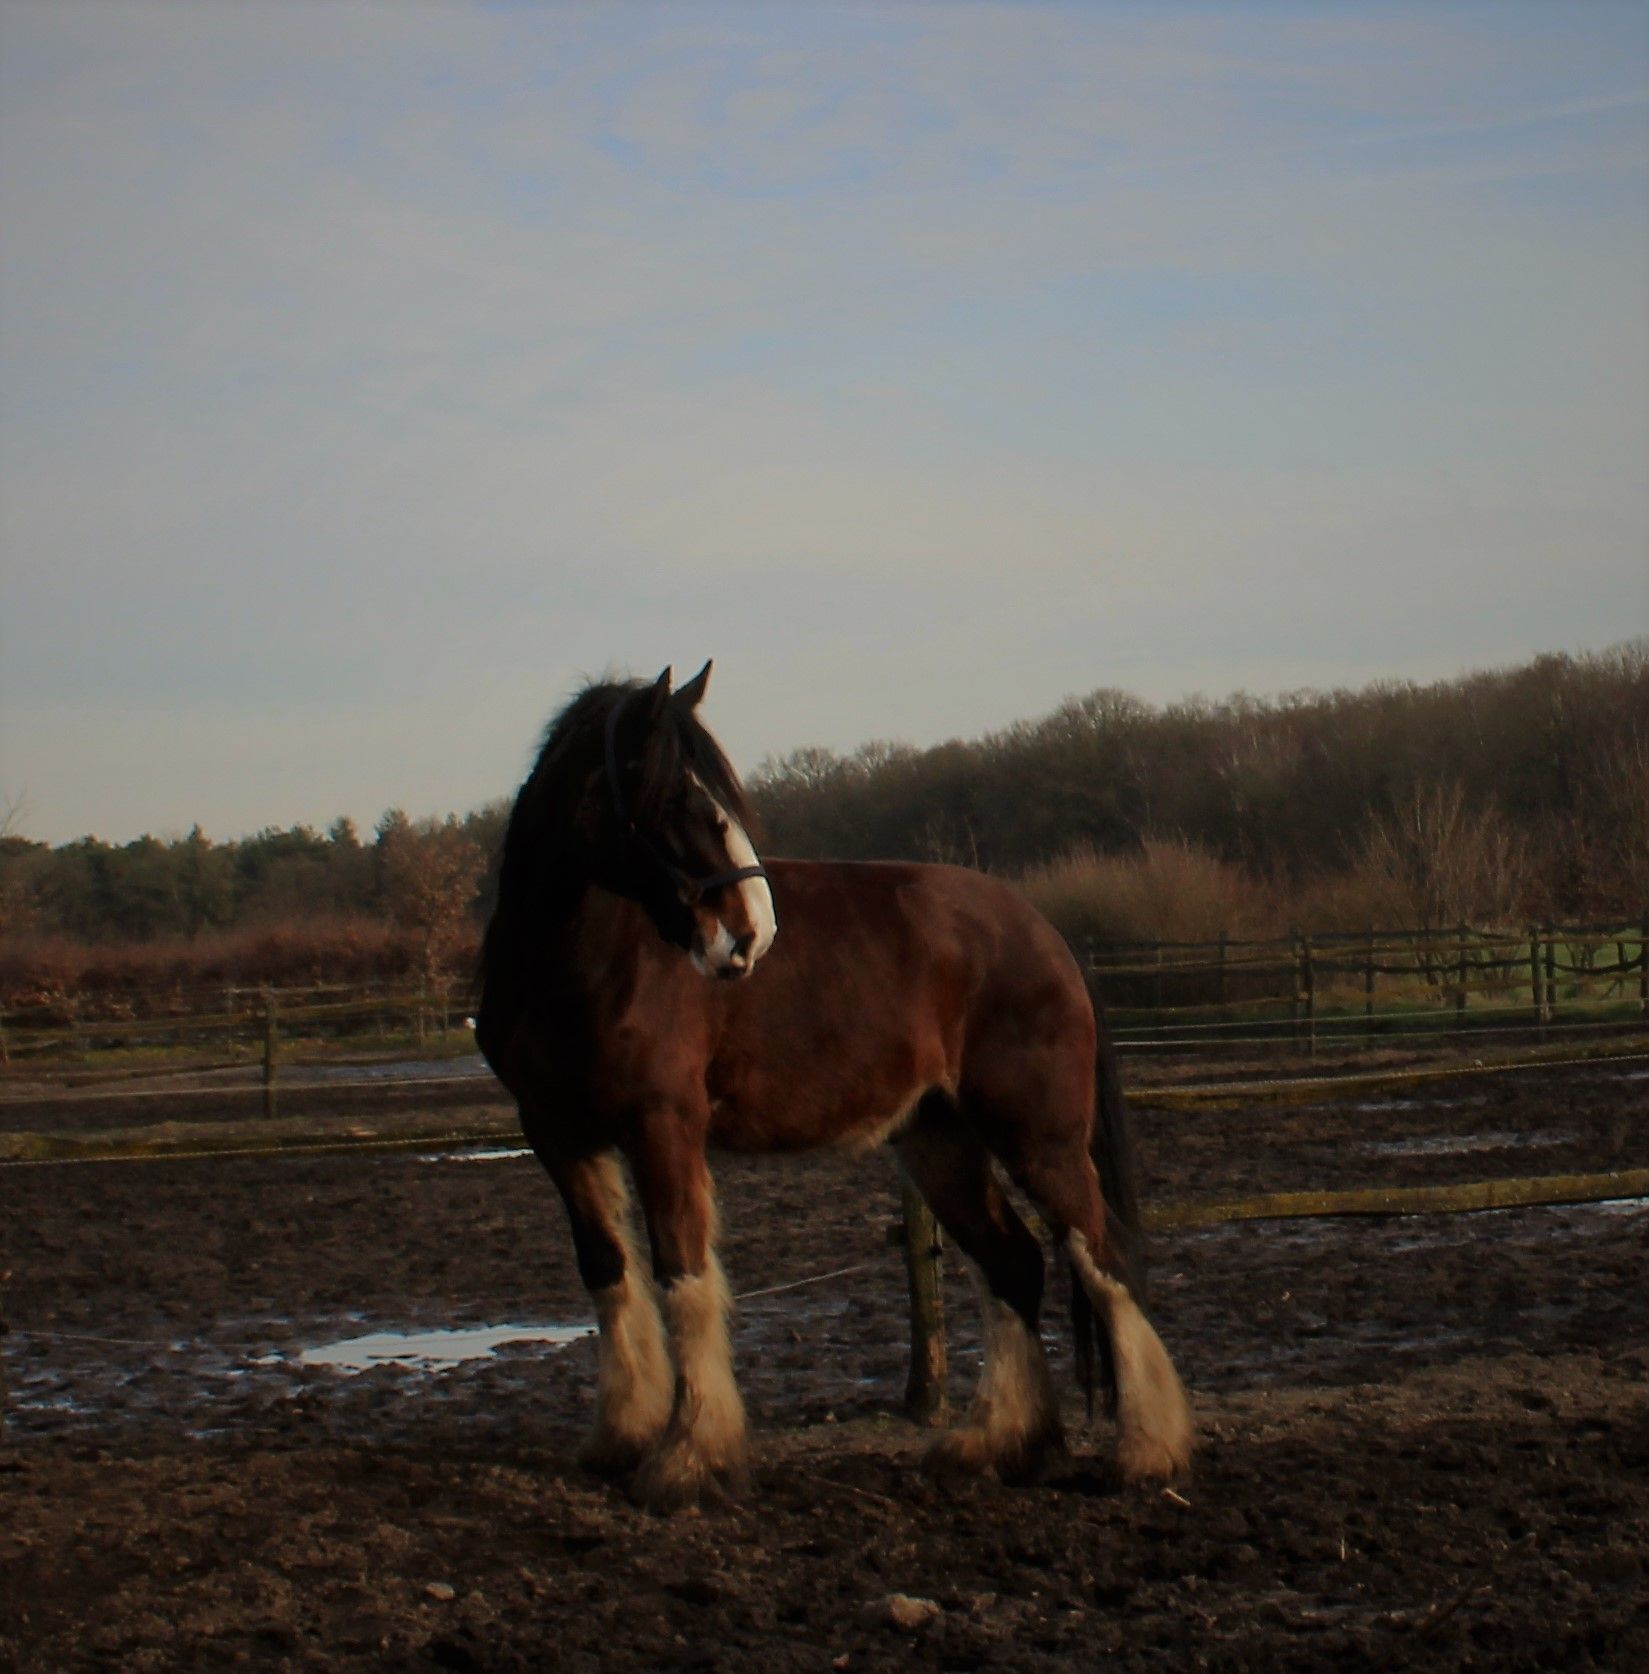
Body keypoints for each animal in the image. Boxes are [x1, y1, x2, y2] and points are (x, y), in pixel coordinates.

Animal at [475, 663, 1193, 1509]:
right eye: (675, 793)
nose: (750, 934)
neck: (579, 966)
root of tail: (1042, 933)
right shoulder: (557, 1132)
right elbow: (607, 1271)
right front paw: (619, 1436)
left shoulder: (663, 1125)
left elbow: (681, 1271)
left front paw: (689, 1457)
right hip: (938, 1141)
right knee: (1014, 1264)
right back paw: (997, 1444)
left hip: (1037, 1137)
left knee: (1101, 1255)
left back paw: (1146, 1452)